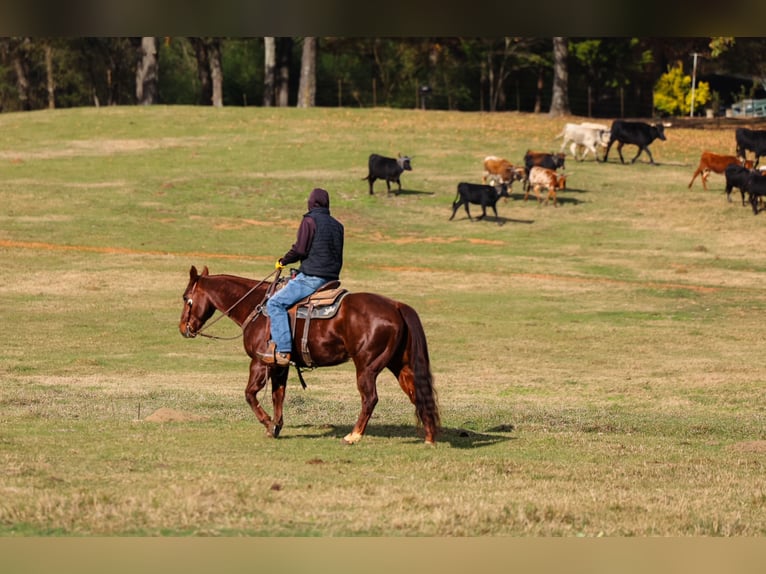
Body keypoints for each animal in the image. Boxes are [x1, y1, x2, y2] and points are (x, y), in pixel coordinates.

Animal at [178, 265, 440, 445]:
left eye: (185, 297)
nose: (183, 328)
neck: (257, 306)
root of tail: (396, 306)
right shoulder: (279, 365)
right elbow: (278, 395)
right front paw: (276, 426)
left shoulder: (260, 363)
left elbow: (250, 394)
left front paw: (267, 424)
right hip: (400, 365)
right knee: (418, 393)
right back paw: (429, 437)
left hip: (367, 367)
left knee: (370, 398)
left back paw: (354, 436)